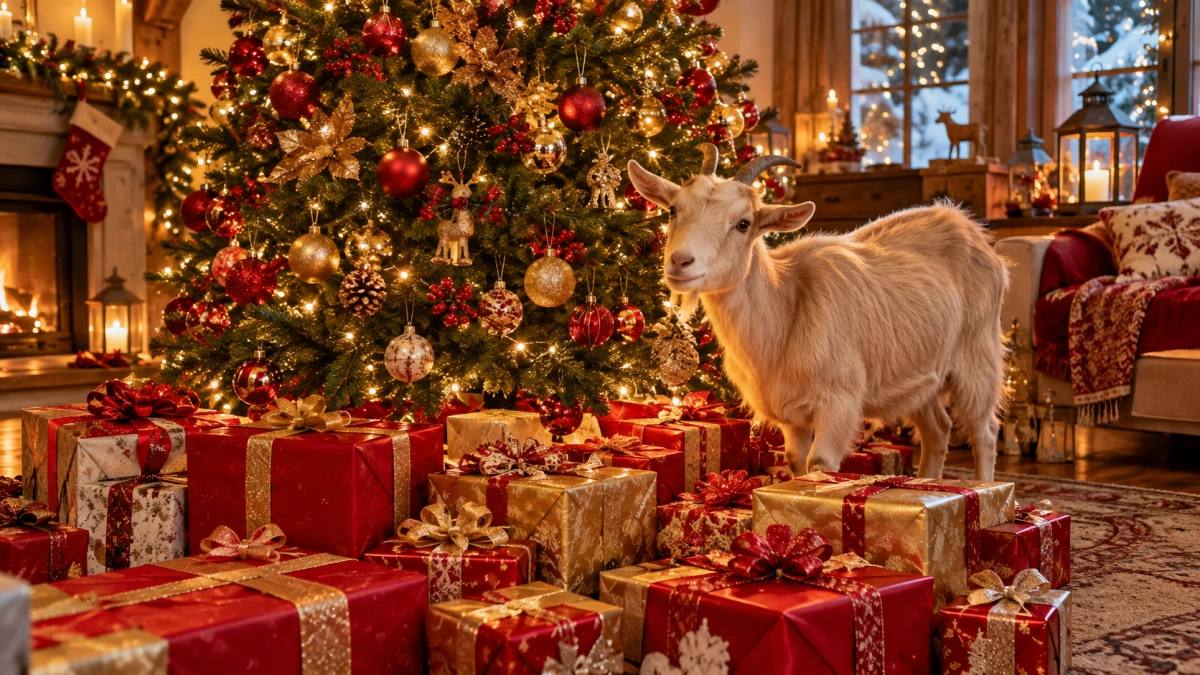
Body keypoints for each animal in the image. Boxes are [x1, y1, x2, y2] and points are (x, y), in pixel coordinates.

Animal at [627, 144, 1008, 480]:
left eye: (743, 223)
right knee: (937, 430)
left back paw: (985, 489)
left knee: (985, 430)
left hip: (978, 355)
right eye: (673, 210)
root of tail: (967, 225)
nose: (681, 262)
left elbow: (820, 463)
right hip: (920, 374)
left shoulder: (840, 402)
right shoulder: (790, 415)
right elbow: (797, 460)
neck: (786, 307)